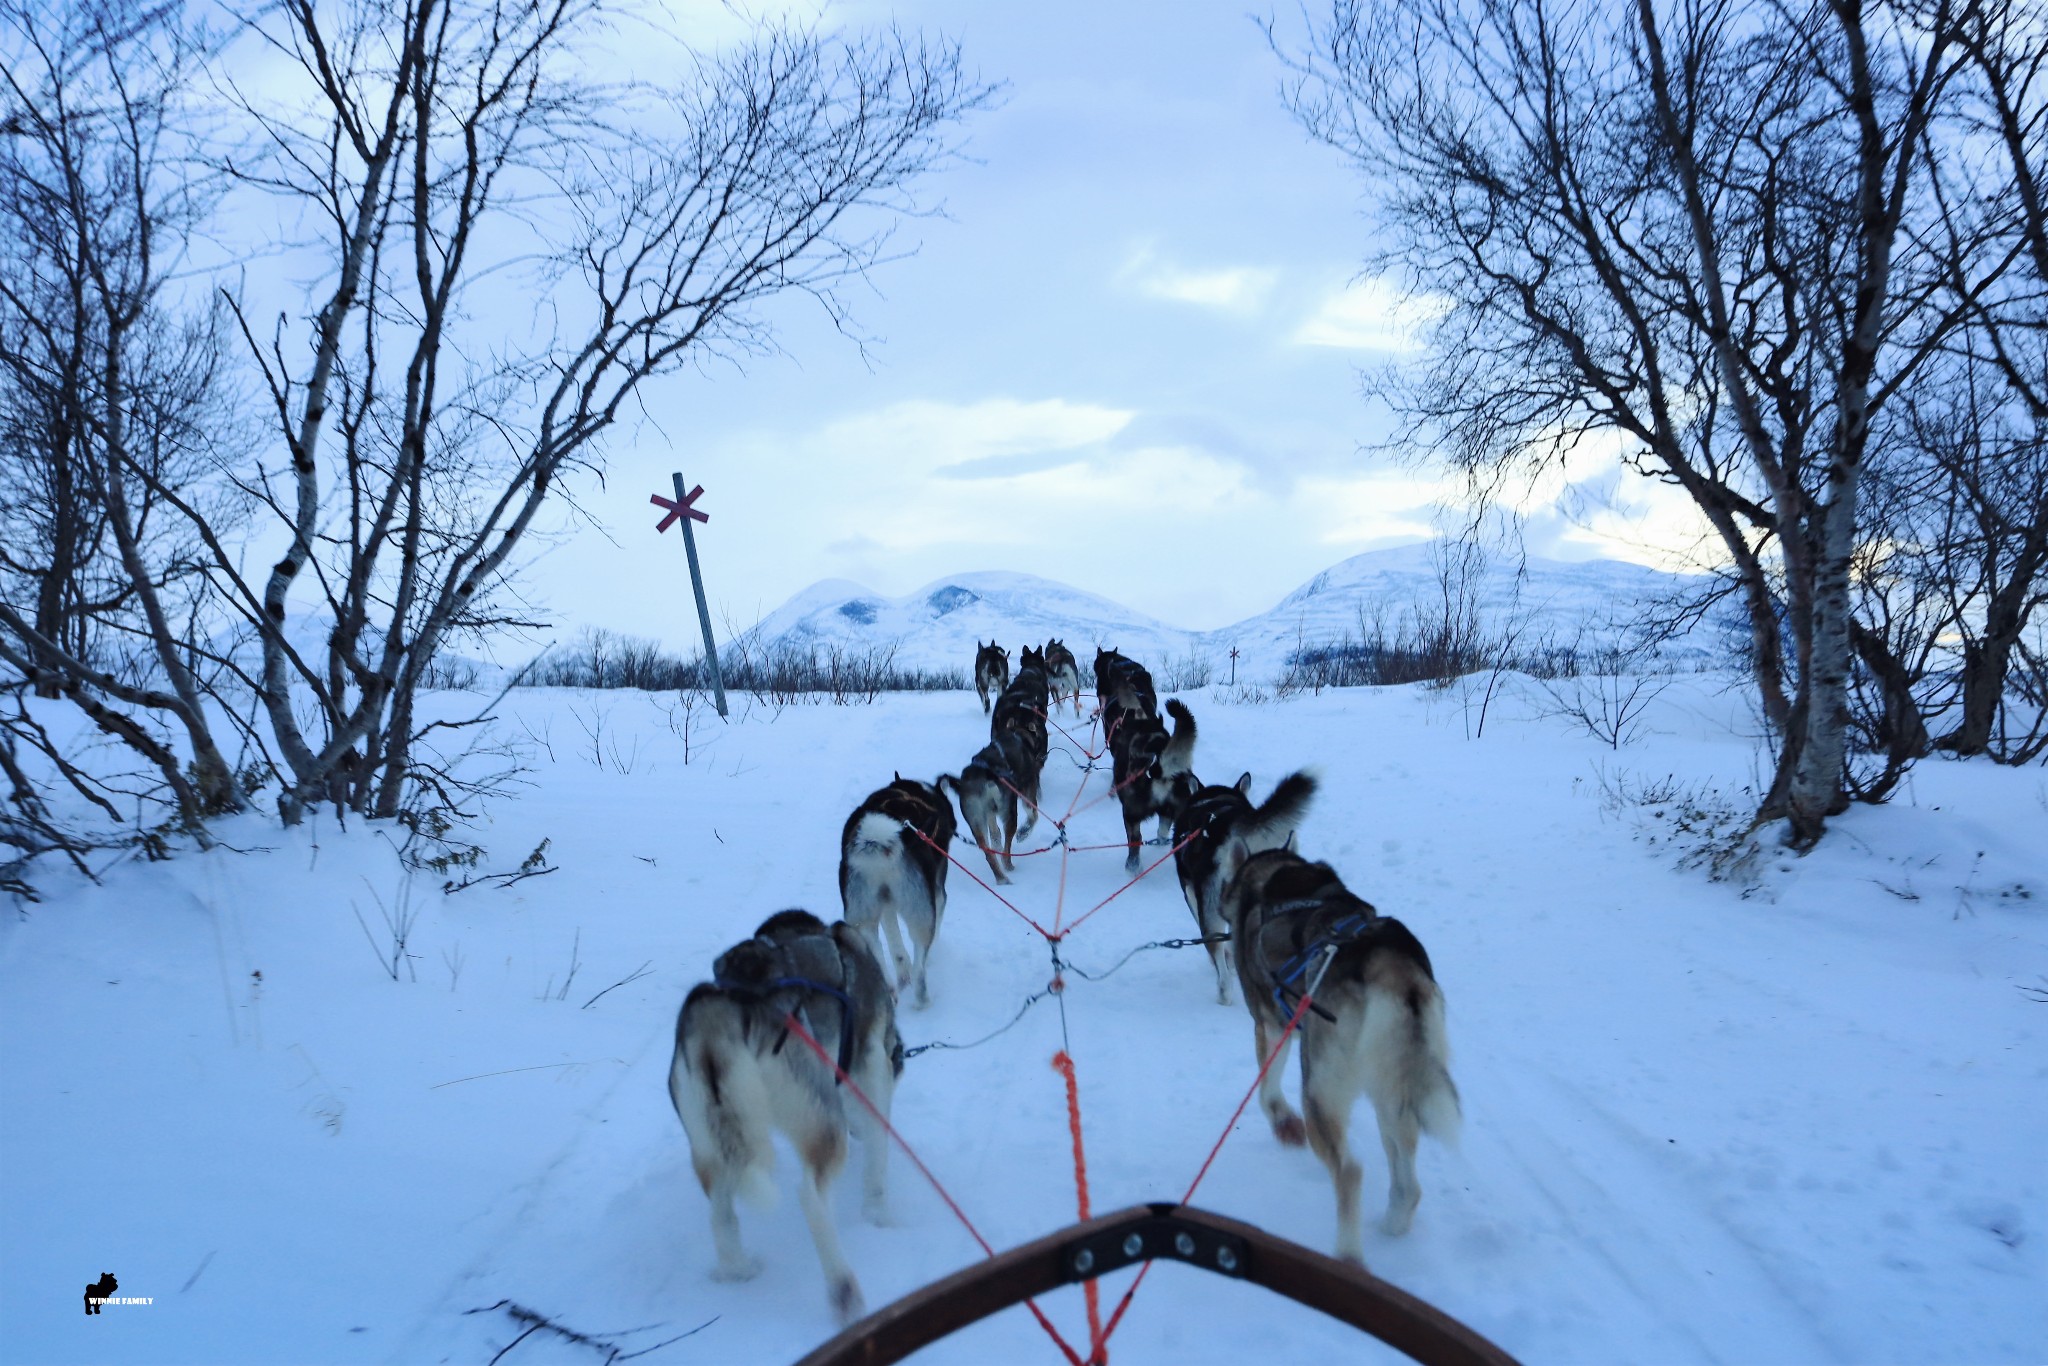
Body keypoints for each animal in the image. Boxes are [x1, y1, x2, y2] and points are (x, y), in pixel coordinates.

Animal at [667, 909, 901, 1327]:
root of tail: (720, 1010)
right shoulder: (873, 1067)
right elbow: (877, 1156)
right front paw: (879, 1216)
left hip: (712, 1149)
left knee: (721, 1214)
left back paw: (737, 1270)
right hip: (822, 1126)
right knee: (810, 1196)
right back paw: (844, 1292)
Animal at [835, 774, 954, 1011]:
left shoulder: (887, 905)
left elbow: (895, 945)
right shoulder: (939, 893)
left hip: (861, 918)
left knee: (878, 951)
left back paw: (890, 988)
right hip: (922, 913)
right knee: (919, 969)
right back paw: (922, 1000)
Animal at [1212, 847, 1458, 1269]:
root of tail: (1386, 963)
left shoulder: (1270, 1027)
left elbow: (1267, 1092)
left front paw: (1283, 1124)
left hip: (1320, 1089)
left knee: (1350, 1171)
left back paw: (1348, 1257)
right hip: (1392, 1094)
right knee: (1408, 1184)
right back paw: (1391, 1226)